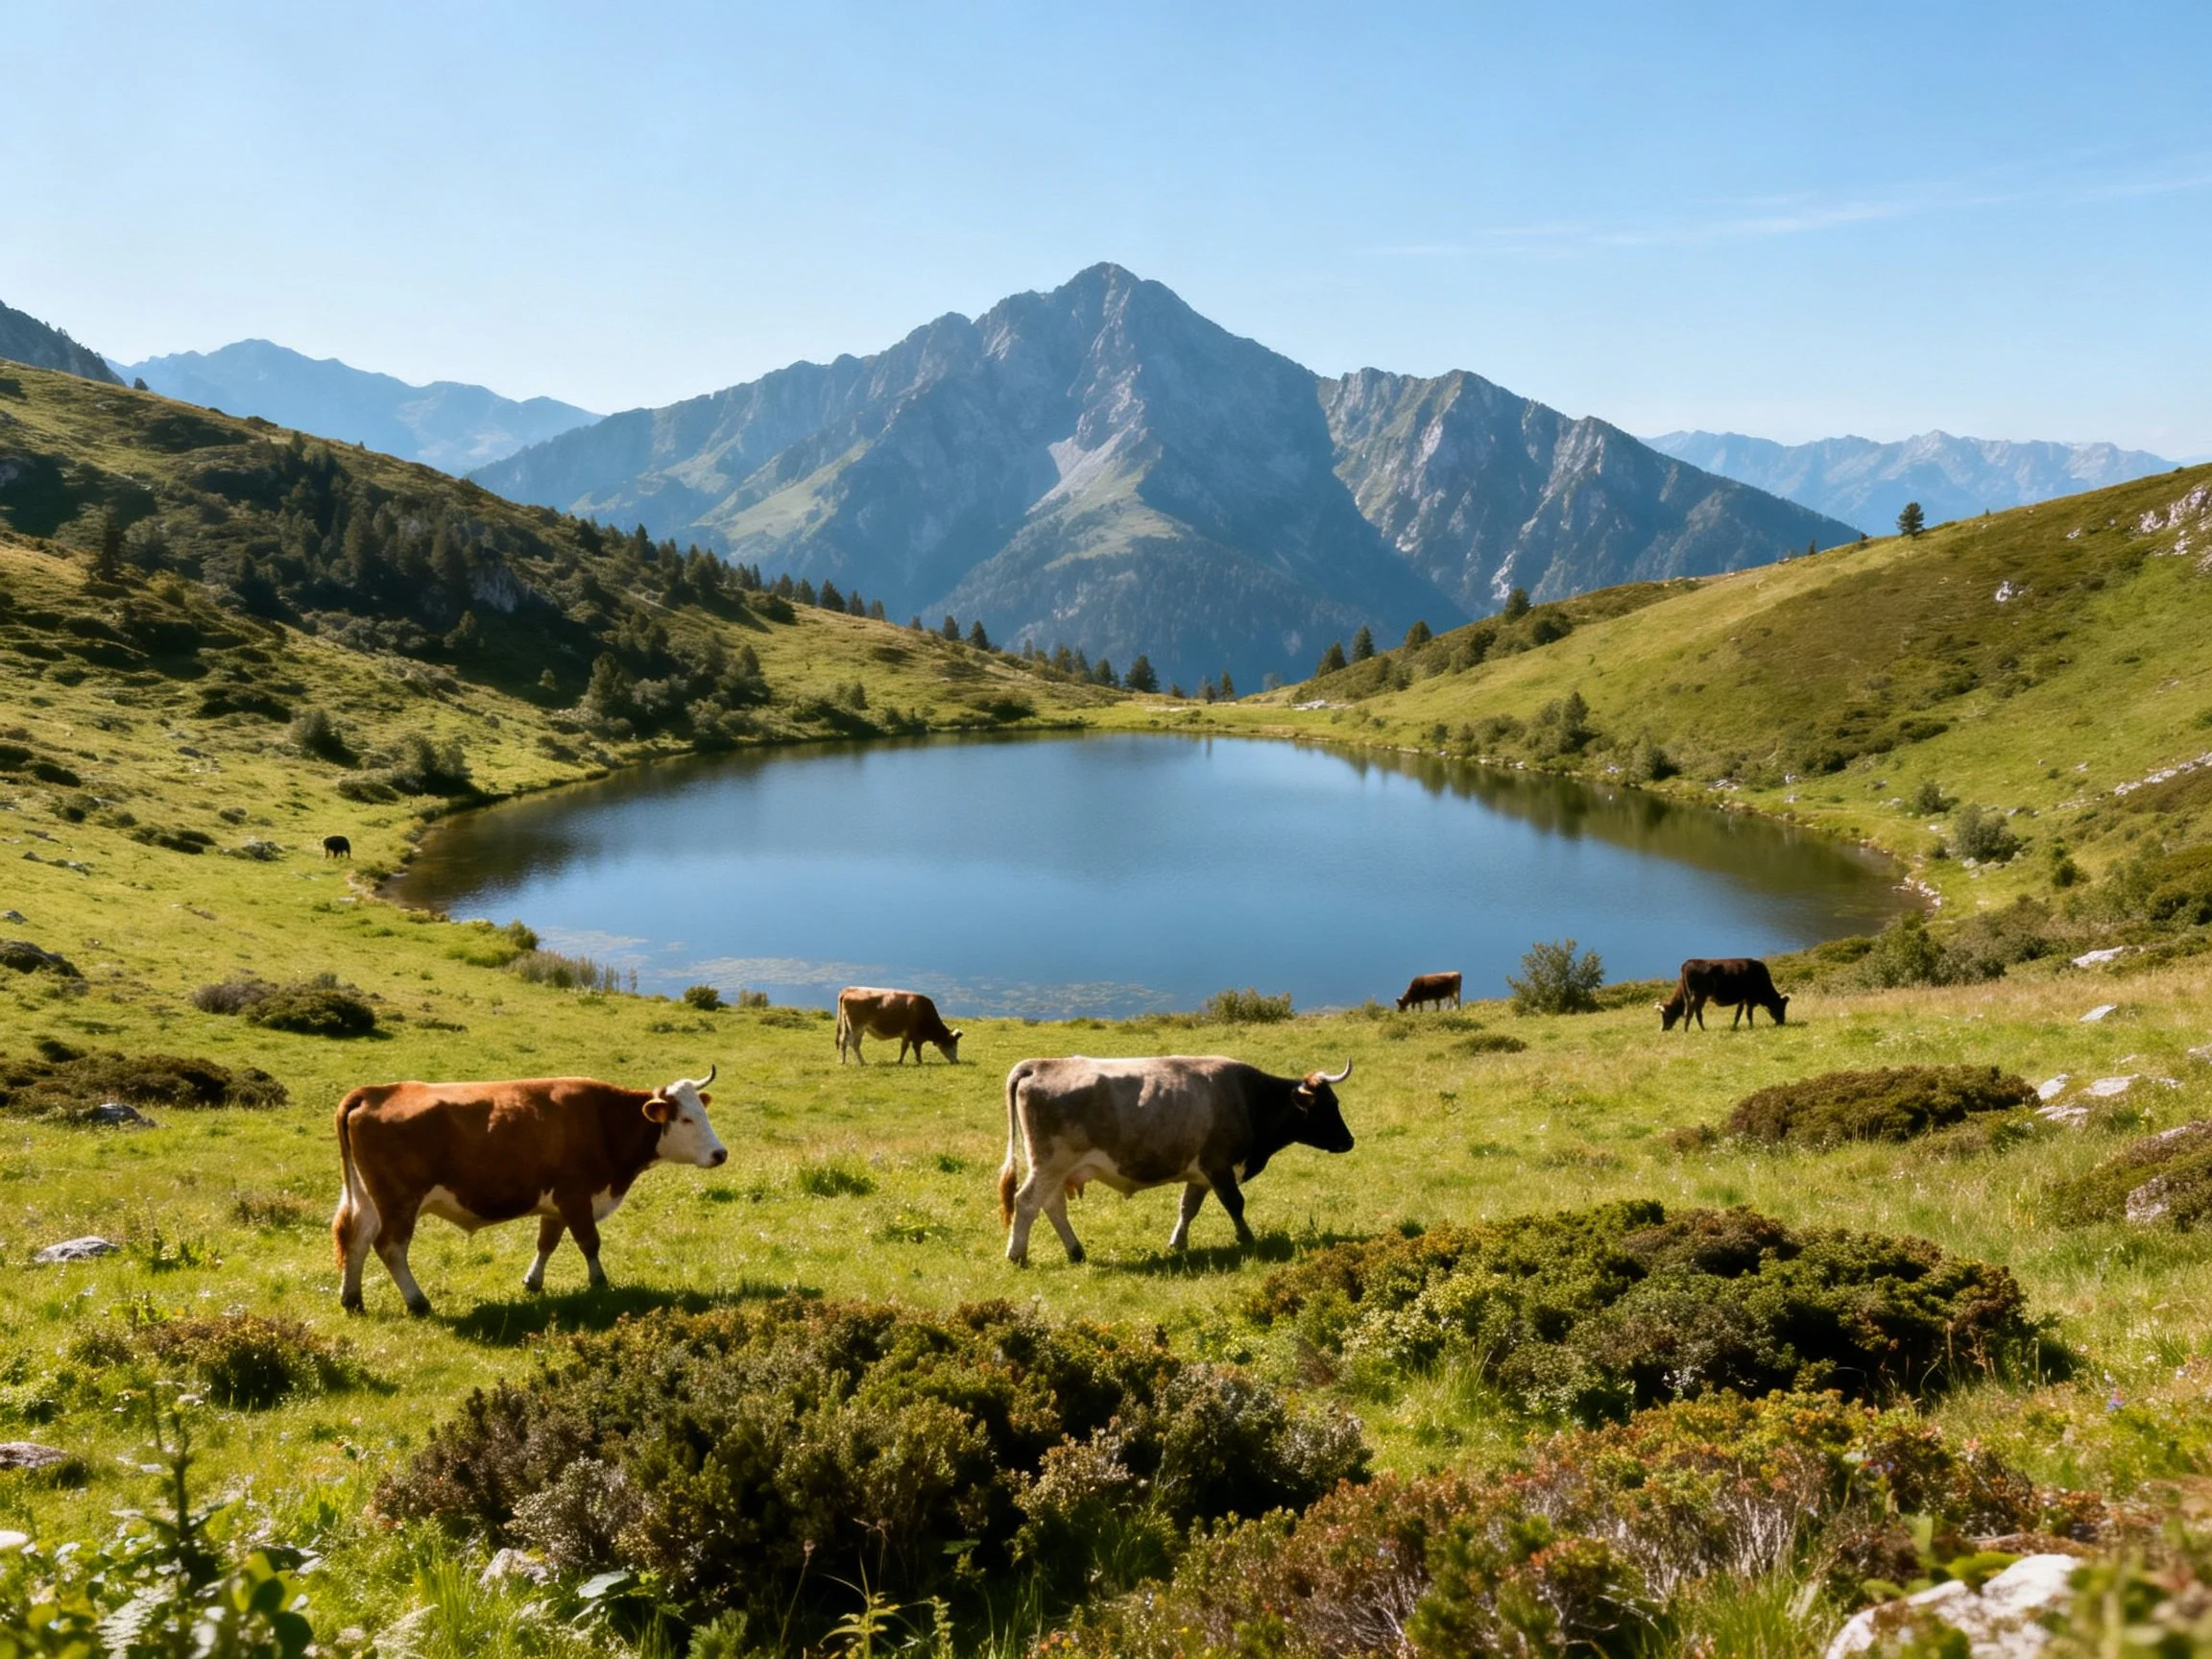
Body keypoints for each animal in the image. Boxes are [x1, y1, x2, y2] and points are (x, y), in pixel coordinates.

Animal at [332, 1065, 726, 1315]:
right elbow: (589, 1242)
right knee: (390, 1247)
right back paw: (417, 1302)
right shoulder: (575, 1196)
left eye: (703, 1114)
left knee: (356, 1238)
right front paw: (599, 1282)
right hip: (400, 1201)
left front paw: (533, 1282)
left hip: (369, 1199)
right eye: (685, 1119)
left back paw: (352, 1299)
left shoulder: (555, 1204)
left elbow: (546, 1243)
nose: (720, 1153)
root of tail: (374, 1092)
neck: (603, 1121)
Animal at [835, 986, 962, 1064]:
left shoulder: (908, 1036)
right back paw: (863, 1062)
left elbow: (904, 1048)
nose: (957, 1061)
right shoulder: (913, 1035)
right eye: (953, 1045)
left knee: (843, 1041)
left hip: (847, 1026)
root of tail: (849, 990)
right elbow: (914, 1049)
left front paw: (901, 1061)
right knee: (854, 1043)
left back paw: (843, 1061)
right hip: (858, 1027)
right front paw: (919, 1061)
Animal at [997, 1056, 1354, 1265]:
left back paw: (1075, 1251)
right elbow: (1235, 1203)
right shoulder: (1218, 1166)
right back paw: (1017, 1254)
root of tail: (1039, 1064)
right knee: (1026, 1202)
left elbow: (1188, 1208)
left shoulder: (1200, 1175)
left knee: (1052, 1205)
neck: (1247, 1098)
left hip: (1055, 1169)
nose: (1349, 1141)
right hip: (1050, 1164)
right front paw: (1246, 1239)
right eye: (1329, 1106)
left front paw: (1178, 1242)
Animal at [1657, 958, 1789, 1031]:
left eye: (1665, 1015)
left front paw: (1734, 1027)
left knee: (1696, 1012)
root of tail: (1688, 962)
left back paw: (1700, 1029)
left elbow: (1738, 1014)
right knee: (1692, 1012)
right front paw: (1751, 1027)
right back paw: (1690, 1030)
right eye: (1781, 1007)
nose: (1782, 1022)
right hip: (1698, 995)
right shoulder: (1750, 998)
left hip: (1698, 996)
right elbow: (1748, 1014)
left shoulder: (1743, 998)